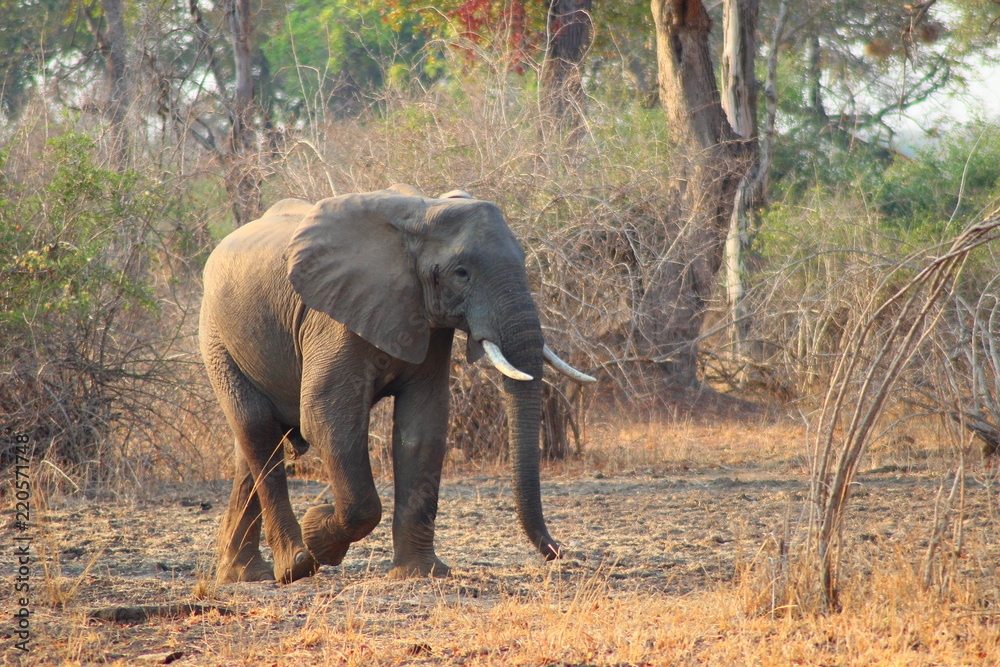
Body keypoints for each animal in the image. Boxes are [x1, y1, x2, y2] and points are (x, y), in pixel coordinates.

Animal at [200, 185, 595, 583]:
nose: (560, 552)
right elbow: (327, 419)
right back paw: (295, 565)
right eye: (461, 273)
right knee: (257, 430)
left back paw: (245, 575)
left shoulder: (426, 320)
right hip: (216, 338)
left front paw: (421, 573)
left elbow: (422, 427)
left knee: (250, 447)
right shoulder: (333, 319)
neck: (421, 216)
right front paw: (319, 532)